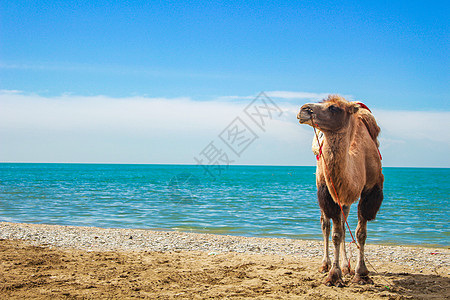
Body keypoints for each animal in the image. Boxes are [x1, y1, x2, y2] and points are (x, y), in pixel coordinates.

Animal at [298, 95, 384, 288]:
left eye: (333, 108)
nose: (303, 109)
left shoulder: (370, 191)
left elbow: (360, 233)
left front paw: (361, 273)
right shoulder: (329, 192)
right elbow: (335, 234)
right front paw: (334, 275)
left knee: (345, 226)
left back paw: (347, 267)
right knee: (325, 224)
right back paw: (325, 264)